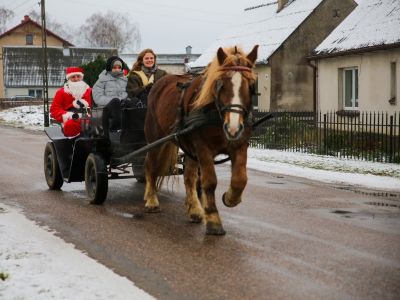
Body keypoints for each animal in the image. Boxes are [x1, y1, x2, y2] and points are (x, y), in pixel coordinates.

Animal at [144, 45, 260, 236]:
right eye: (221, 84)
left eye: (250, 85)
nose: (233, 127)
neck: (216, 114)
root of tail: (159, 82)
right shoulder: (204, 148)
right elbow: (210, 182)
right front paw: (213, 220)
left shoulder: (239, 145)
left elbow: (240, 179)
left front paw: (230, 198)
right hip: (156, 138)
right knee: (151, 166)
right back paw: (151, 200)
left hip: (189, 147)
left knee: (189, 176)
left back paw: (195, 210)